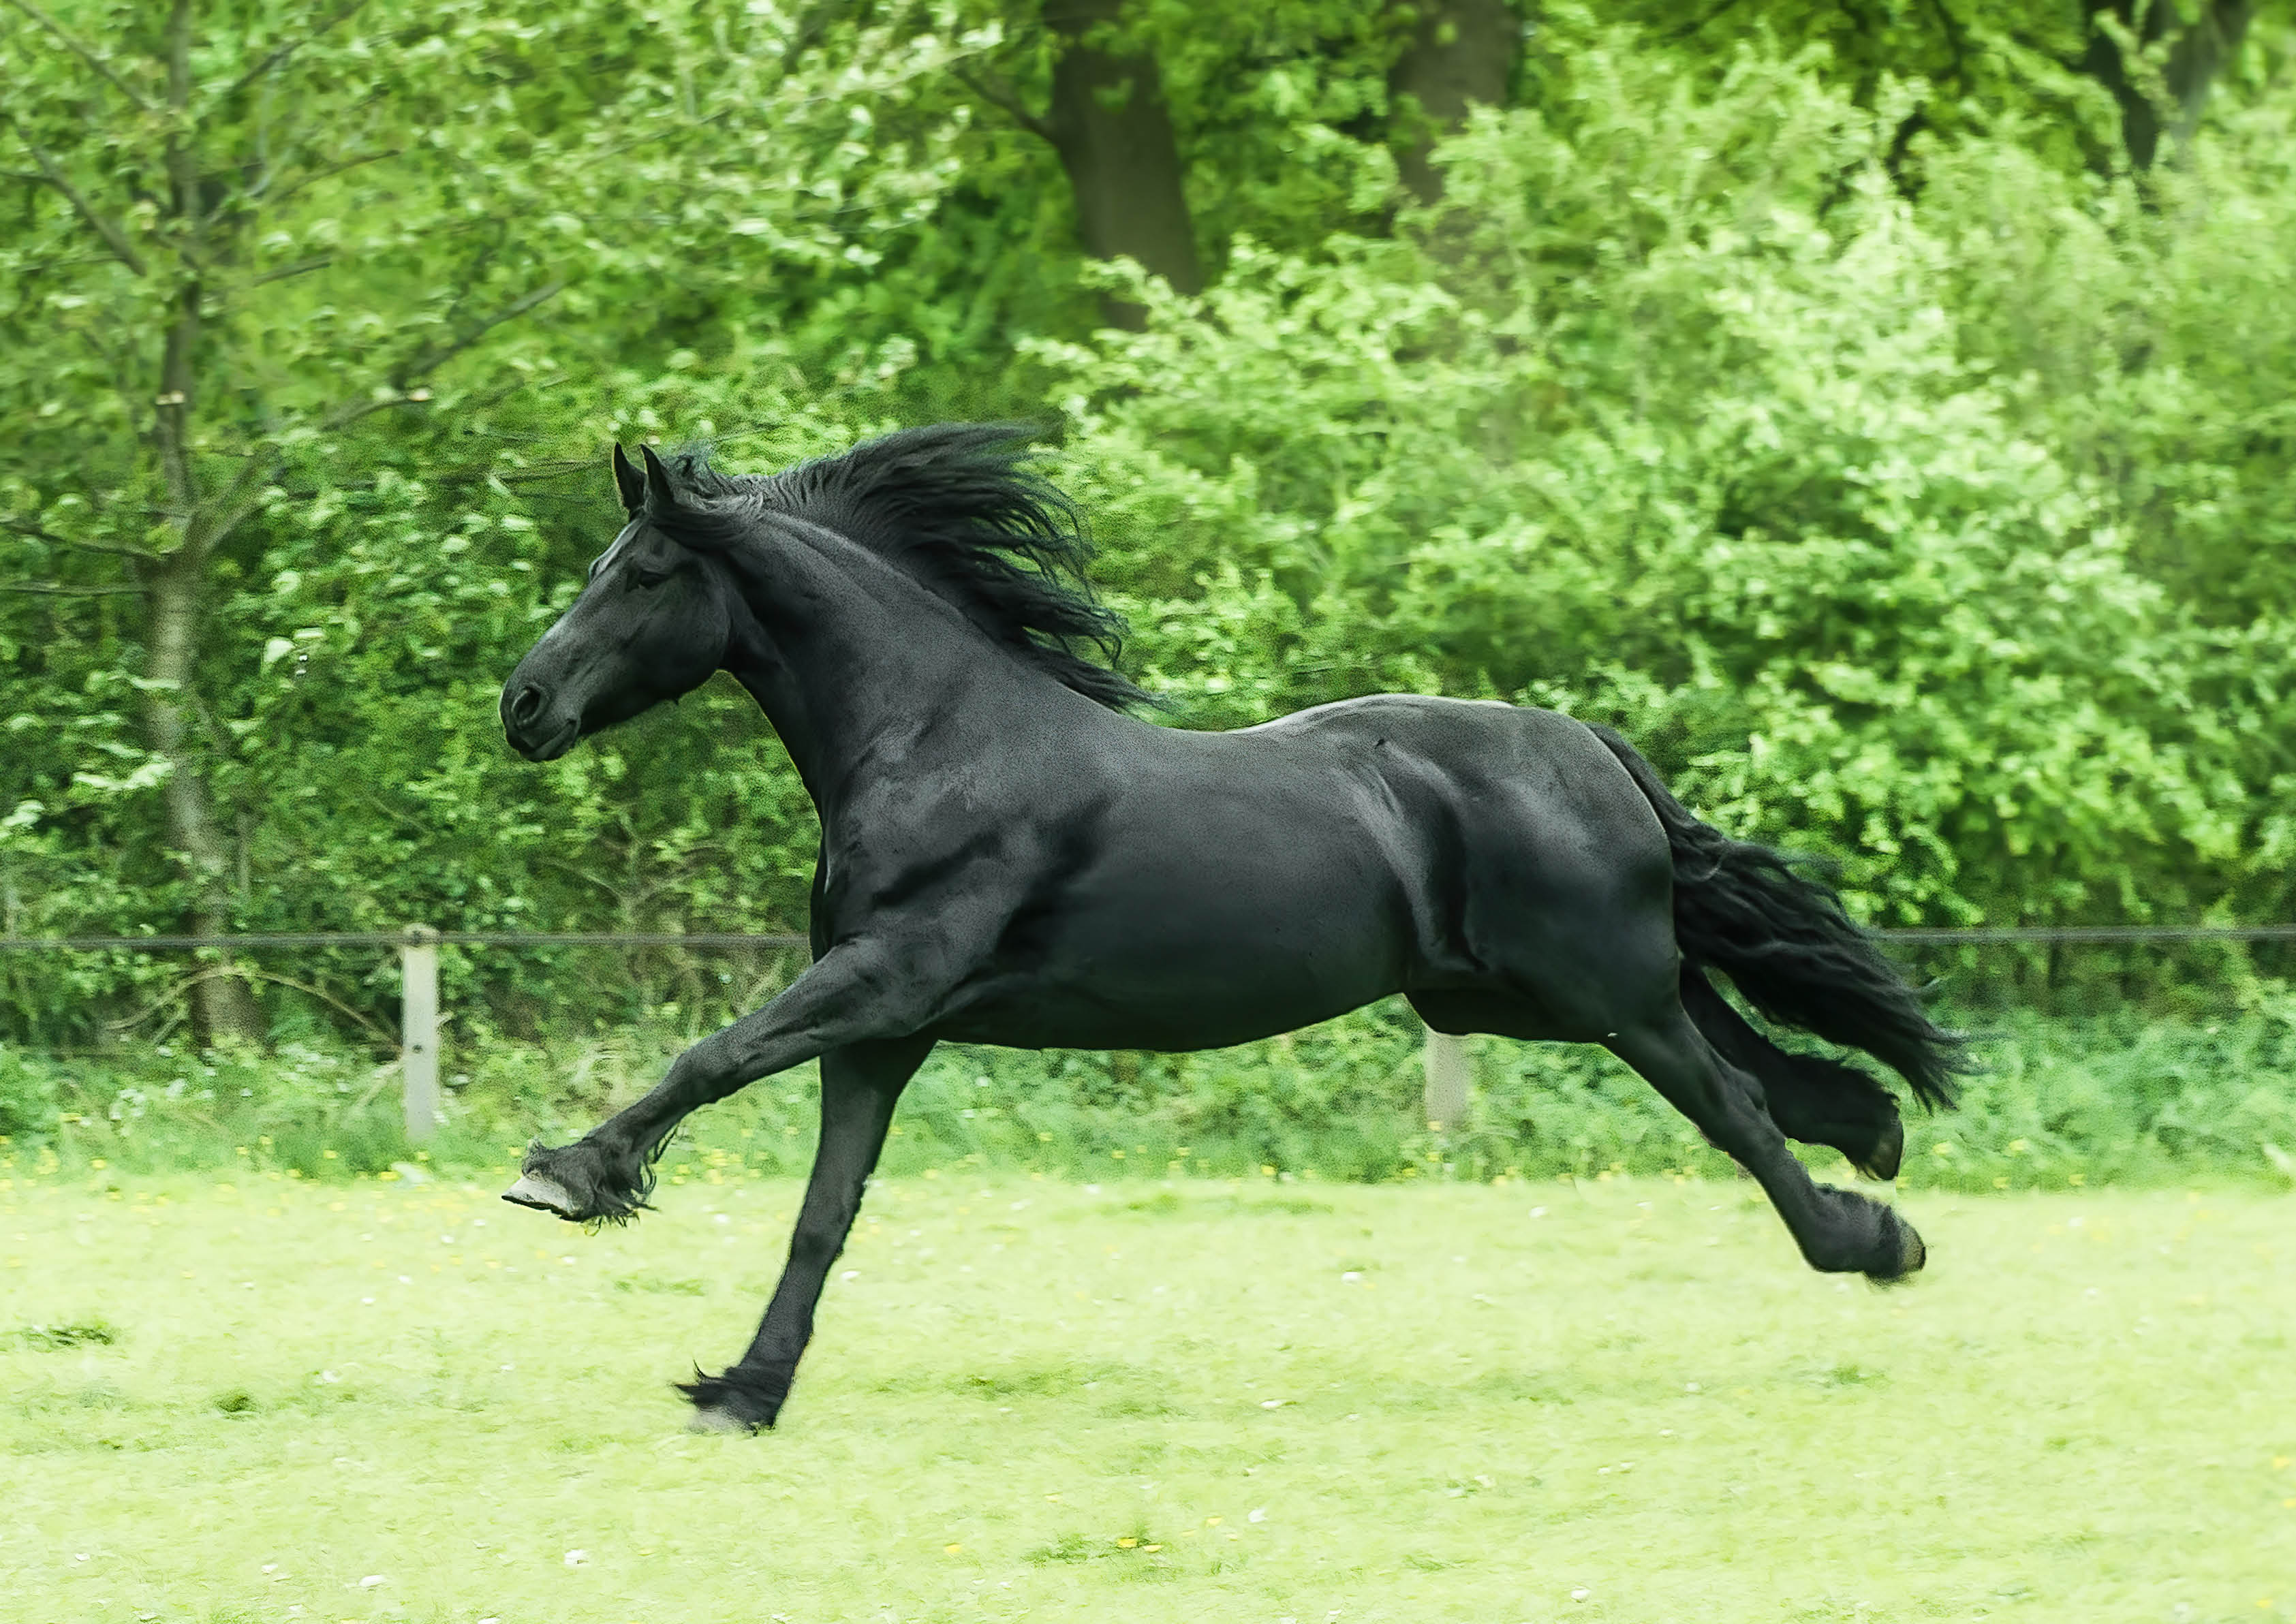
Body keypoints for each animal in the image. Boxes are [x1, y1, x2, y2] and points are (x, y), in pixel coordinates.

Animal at [497, 424, 1962, 1434]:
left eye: (640, 573)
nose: (522, 706)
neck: (933, 740)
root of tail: (1592, 745)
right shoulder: (883, 1031)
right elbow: (822, 1214)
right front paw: (743, 1387)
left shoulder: (887, 977)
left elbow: (711, 1057)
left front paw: (566, 1176)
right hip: (1522, 993)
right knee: (1760, 1059)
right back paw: (1873, 1135)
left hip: (1595, 989)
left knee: (1735, 1105)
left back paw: (1870, 1239)